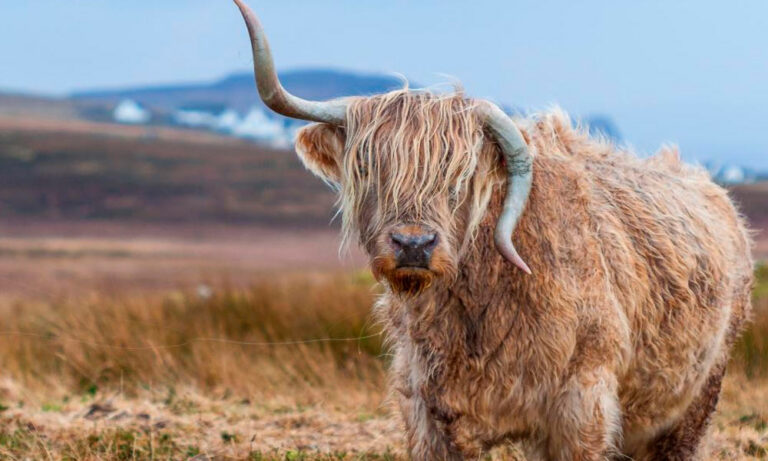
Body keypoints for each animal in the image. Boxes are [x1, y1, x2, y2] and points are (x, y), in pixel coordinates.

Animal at [233, 1, 754, 459]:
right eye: (366, 166)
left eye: (461, 175)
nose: (414, 244)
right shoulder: (426, 409)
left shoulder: (582, 403)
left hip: (700, 393)